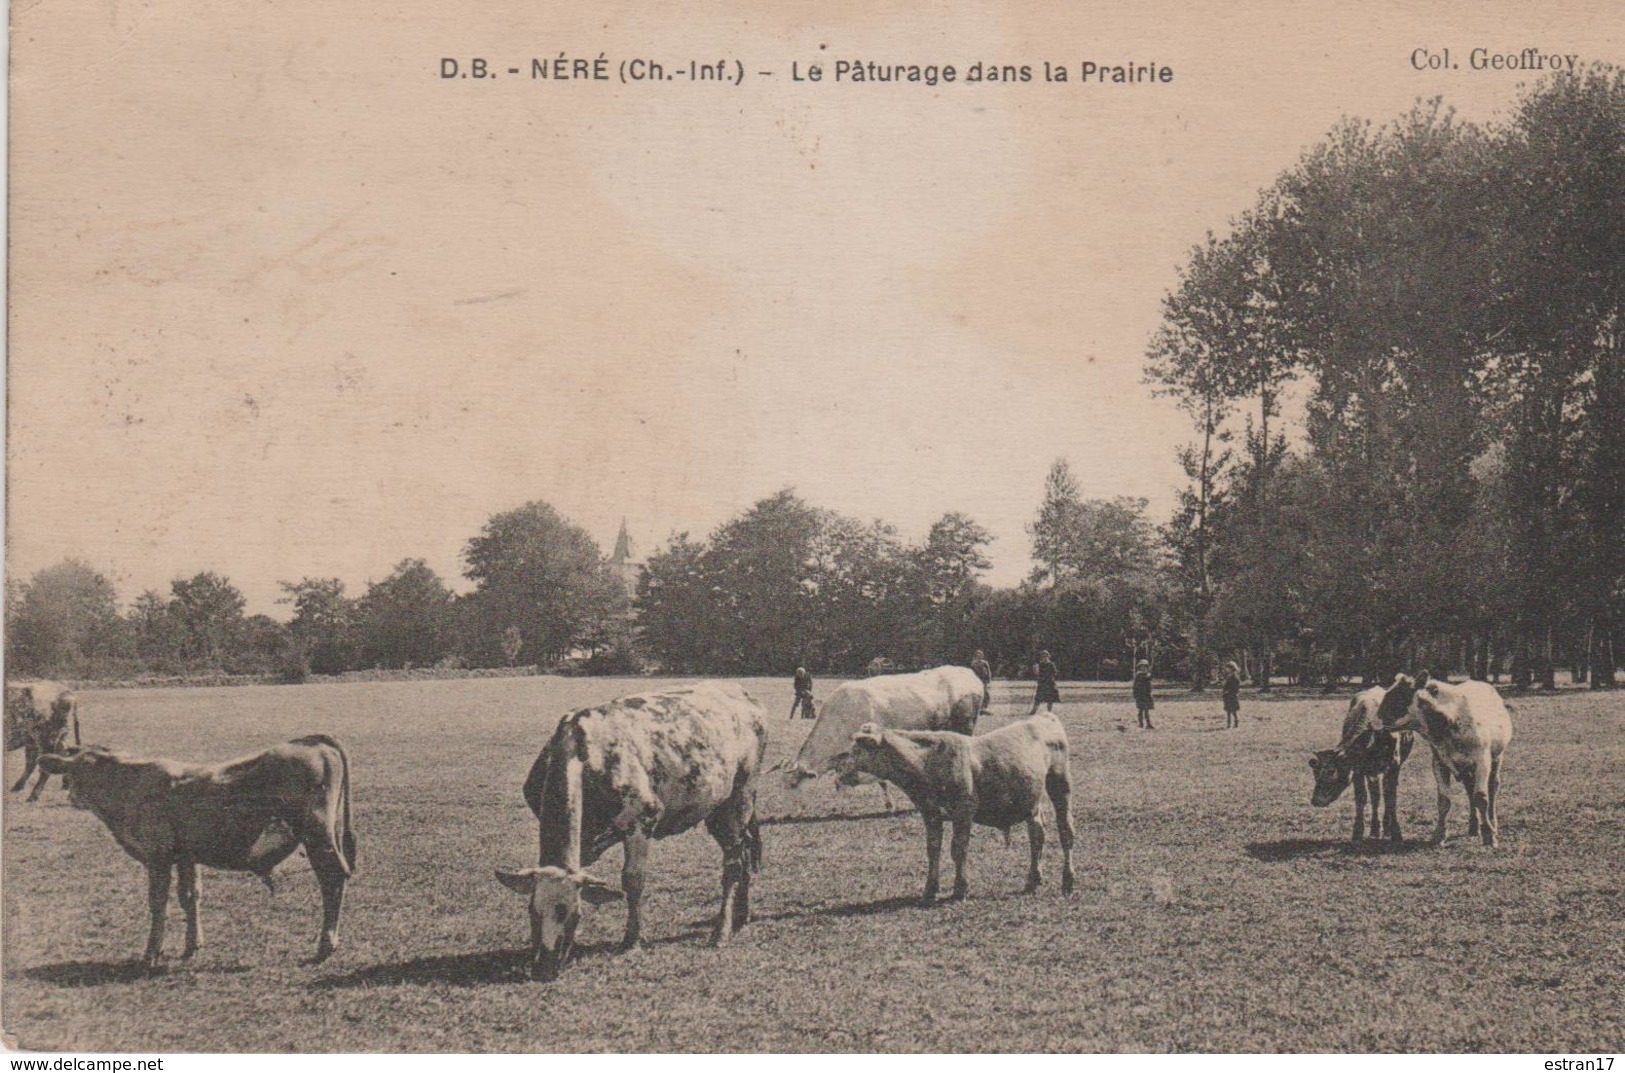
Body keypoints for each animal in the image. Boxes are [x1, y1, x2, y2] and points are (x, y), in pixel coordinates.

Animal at [38, 734, 355, 968]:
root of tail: (311, 741)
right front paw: (192, 945)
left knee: (332, 880)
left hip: (317, 836)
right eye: (74, 769)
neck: (132, 786)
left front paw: (151, 953)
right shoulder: (186, 856)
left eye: (83, 770)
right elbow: (190, 896)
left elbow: (158, 902)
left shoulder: (158, 856)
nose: (72, 797)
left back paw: (326, 944)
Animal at [845, 712, 1072, 903]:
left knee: (1065, 831)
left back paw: (1068, 881)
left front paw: (960, 889)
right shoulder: (931, 814)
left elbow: (958, 849)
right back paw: (1033, 881)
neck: (927, 762)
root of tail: (1043, 716)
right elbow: (933, 850)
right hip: (1031, 800)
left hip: (1060, 785)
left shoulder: (963, 812)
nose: (841, 769)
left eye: (858, 749)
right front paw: (930, 889)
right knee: (1037, 835)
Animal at [1306, 686, 1410, 845]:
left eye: (1331, 771)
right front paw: (1357, 833)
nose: (1315, 800)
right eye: (1315, 773)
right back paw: (1374, 830)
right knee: (1375, 794)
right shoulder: (1358, 768)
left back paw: (1385, 827)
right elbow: (1361, 797)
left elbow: (1391, 797)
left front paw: (1396, 833)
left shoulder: (1394, 764)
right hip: (1372, 770)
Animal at [1378, 669, 1514, 845]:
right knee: (1470, 789)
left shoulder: (1482, 761)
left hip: (1497, 757)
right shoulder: (1439, 763)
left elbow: (1481, 798)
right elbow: (1444, 801)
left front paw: (1489, 835)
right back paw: (1473, 826)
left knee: (1493, 787)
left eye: (1400, 695)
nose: (1377, 716)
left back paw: (1493, 823)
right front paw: (1439, 834)